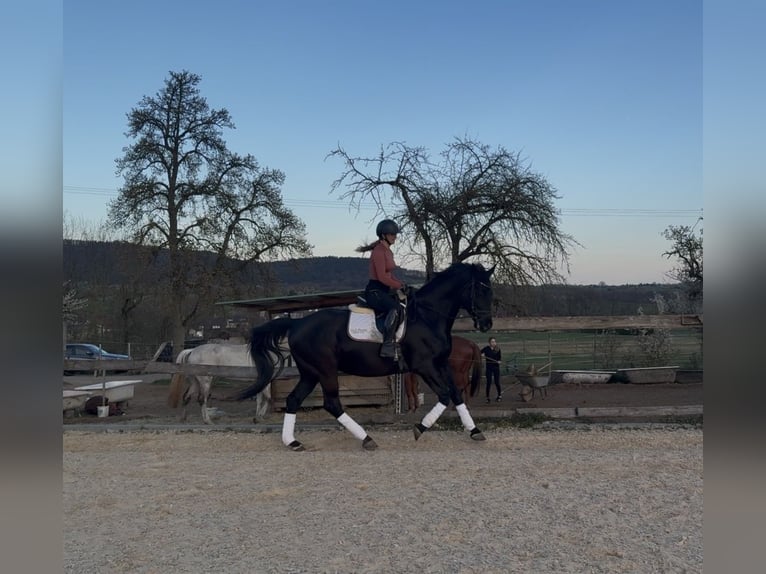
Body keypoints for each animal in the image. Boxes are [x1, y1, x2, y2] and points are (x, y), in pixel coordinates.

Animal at [235, 262, 495, 450]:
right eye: (480, 289)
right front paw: (419, 428)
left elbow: (455, 395)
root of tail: (297, 323)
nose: (486, 324)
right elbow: (444, 395)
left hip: (310, 373)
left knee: (293, 400)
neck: (427, 317)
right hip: (325, 370)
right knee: (331, 403)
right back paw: (366, 439)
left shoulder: (441, 365)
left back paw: (293, 442)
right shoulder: (425, 367)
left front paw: (475, 431)